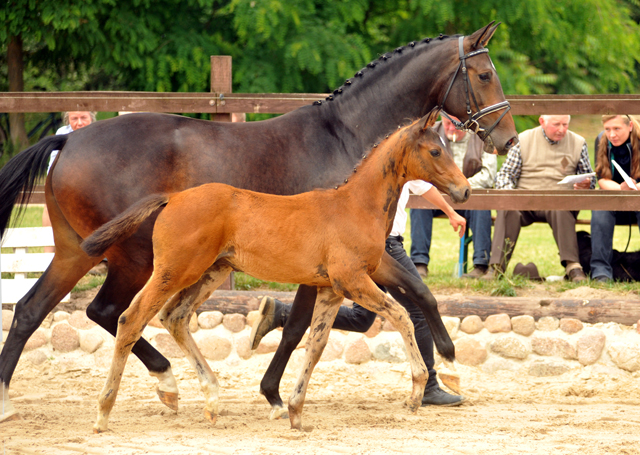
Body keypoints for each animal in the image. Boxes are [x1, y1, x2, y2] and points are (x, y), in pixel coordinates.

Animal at [81, 108, 470, 432]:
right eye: (435, 152)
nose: (465, 190)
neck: (355, 206)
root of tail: (172, 198)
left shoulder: (331, 290)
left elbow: (316, 344)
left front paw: (295, 410)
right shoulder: (353, 281)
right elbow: (402, 315)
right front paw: (416, 391)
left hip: (212, 272)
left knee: (174, 317)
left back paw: (211, 399)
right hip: (173, 271)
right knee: (131, 318)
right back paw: (104, 412)